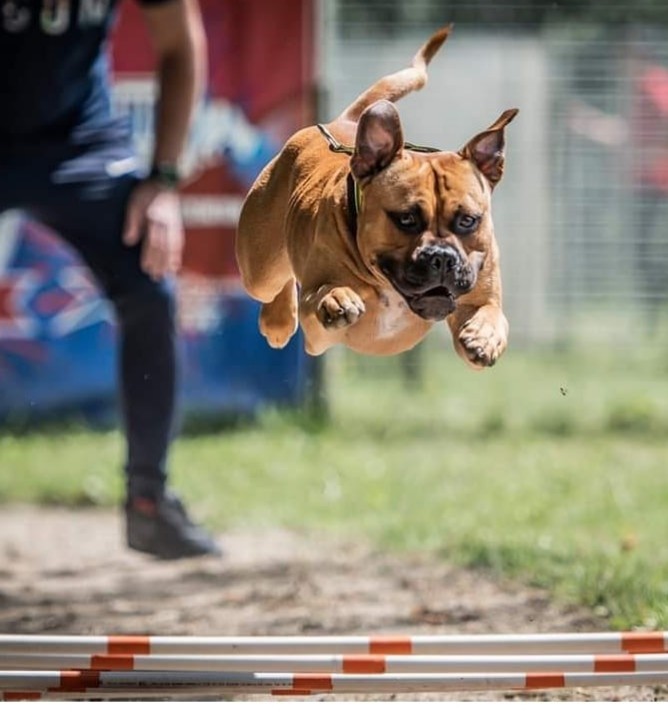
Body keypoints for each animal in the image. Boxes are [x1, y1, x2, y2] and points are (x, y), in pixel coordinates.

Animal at [237, 23, 520, 368]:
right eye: (406, 219)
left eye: (468, 220)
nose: (441, 257)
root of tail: (342, 122)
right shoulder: (316, 328)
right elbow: (321, 292)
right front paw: (337, 297)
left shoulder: (479, 295)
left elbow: (490, 312)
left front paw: (484, 336)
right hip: (259, 268)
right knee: (273, 283)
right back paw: (277, 320)